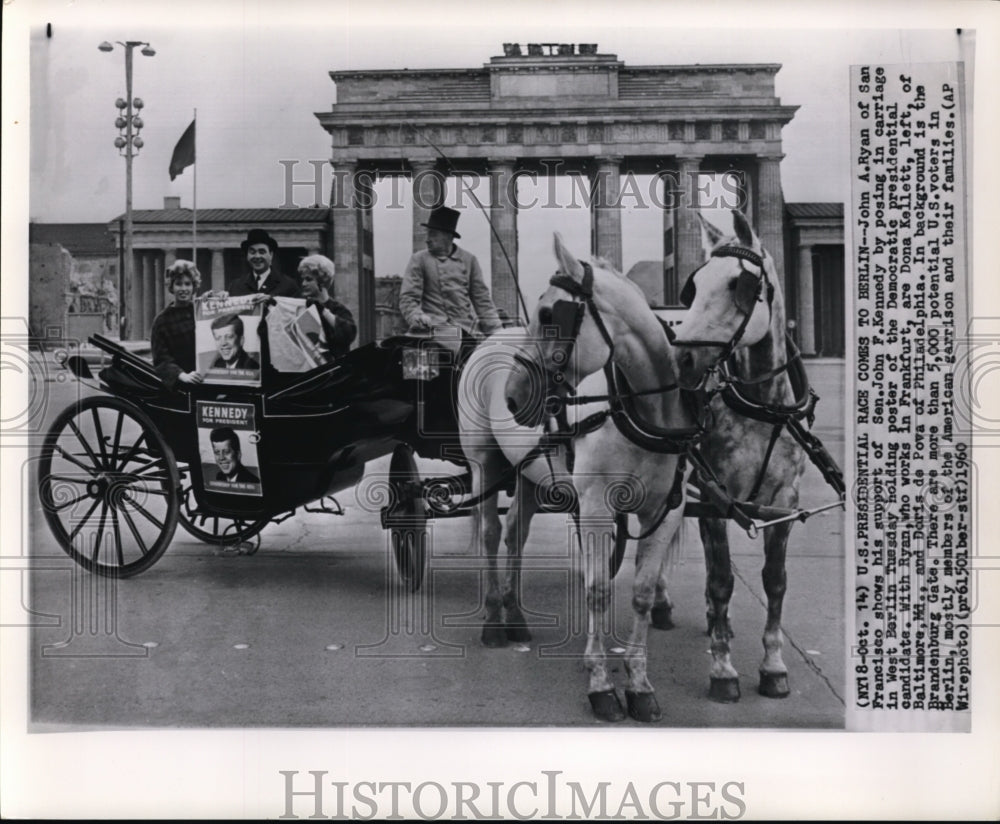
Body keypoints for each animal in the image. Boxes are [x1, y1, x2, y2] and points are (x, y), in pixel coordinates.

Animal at [464, 232, 700, 720]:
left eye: (548, 314)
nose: (513, 397)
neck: (644, 412)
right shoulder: (594, 507)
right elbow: (597, 591)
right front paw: (600, 682)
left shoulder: (666, 511)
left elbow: (641, 593)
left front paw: (639, 683)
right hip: (483, 464)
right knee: (491, 534)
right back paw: (494, 619)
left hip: (530, 472)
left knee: (515, 532)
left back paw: (515, 617)